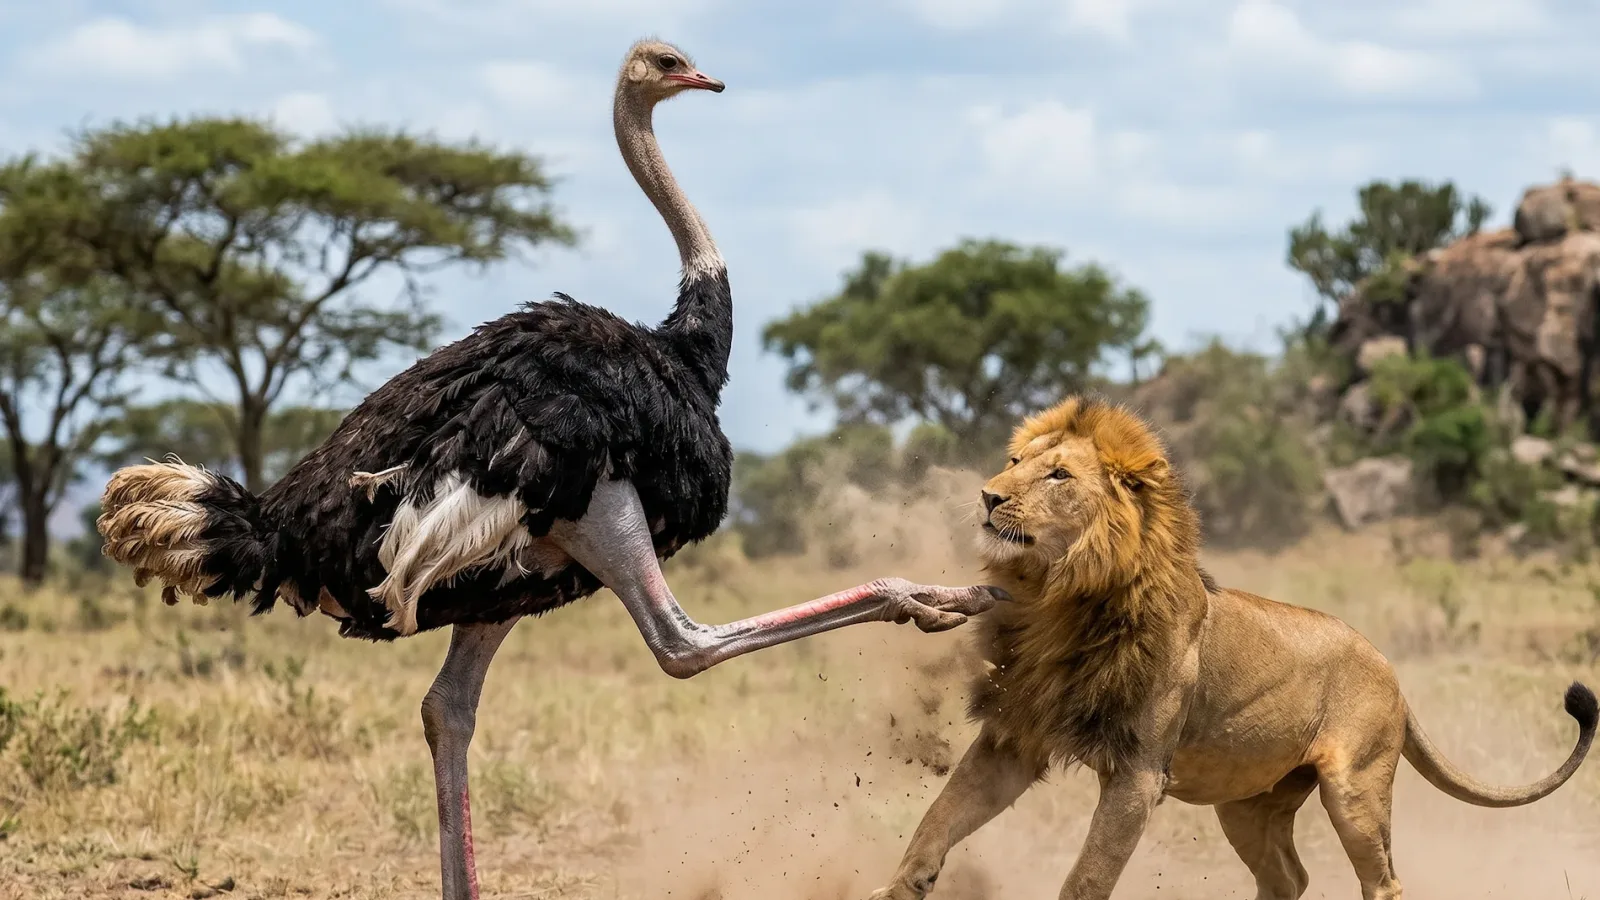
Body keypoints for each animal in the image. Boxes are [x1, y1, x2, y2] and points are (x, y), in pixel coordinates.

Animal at [867, 397, 1596, 900]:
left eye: (1057, 477)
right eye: (1014, 463)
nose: (989, 496)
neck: (1058, 598)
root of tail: (1387, 665)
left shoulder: (1138, 774)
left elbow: (1086, 878)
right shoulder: (1014, 738)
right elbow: (937, 820)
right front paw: (896, 887)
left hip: (1355, 789)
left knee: (1382, 879)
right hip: (1248, 804)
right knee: (1289, 878)